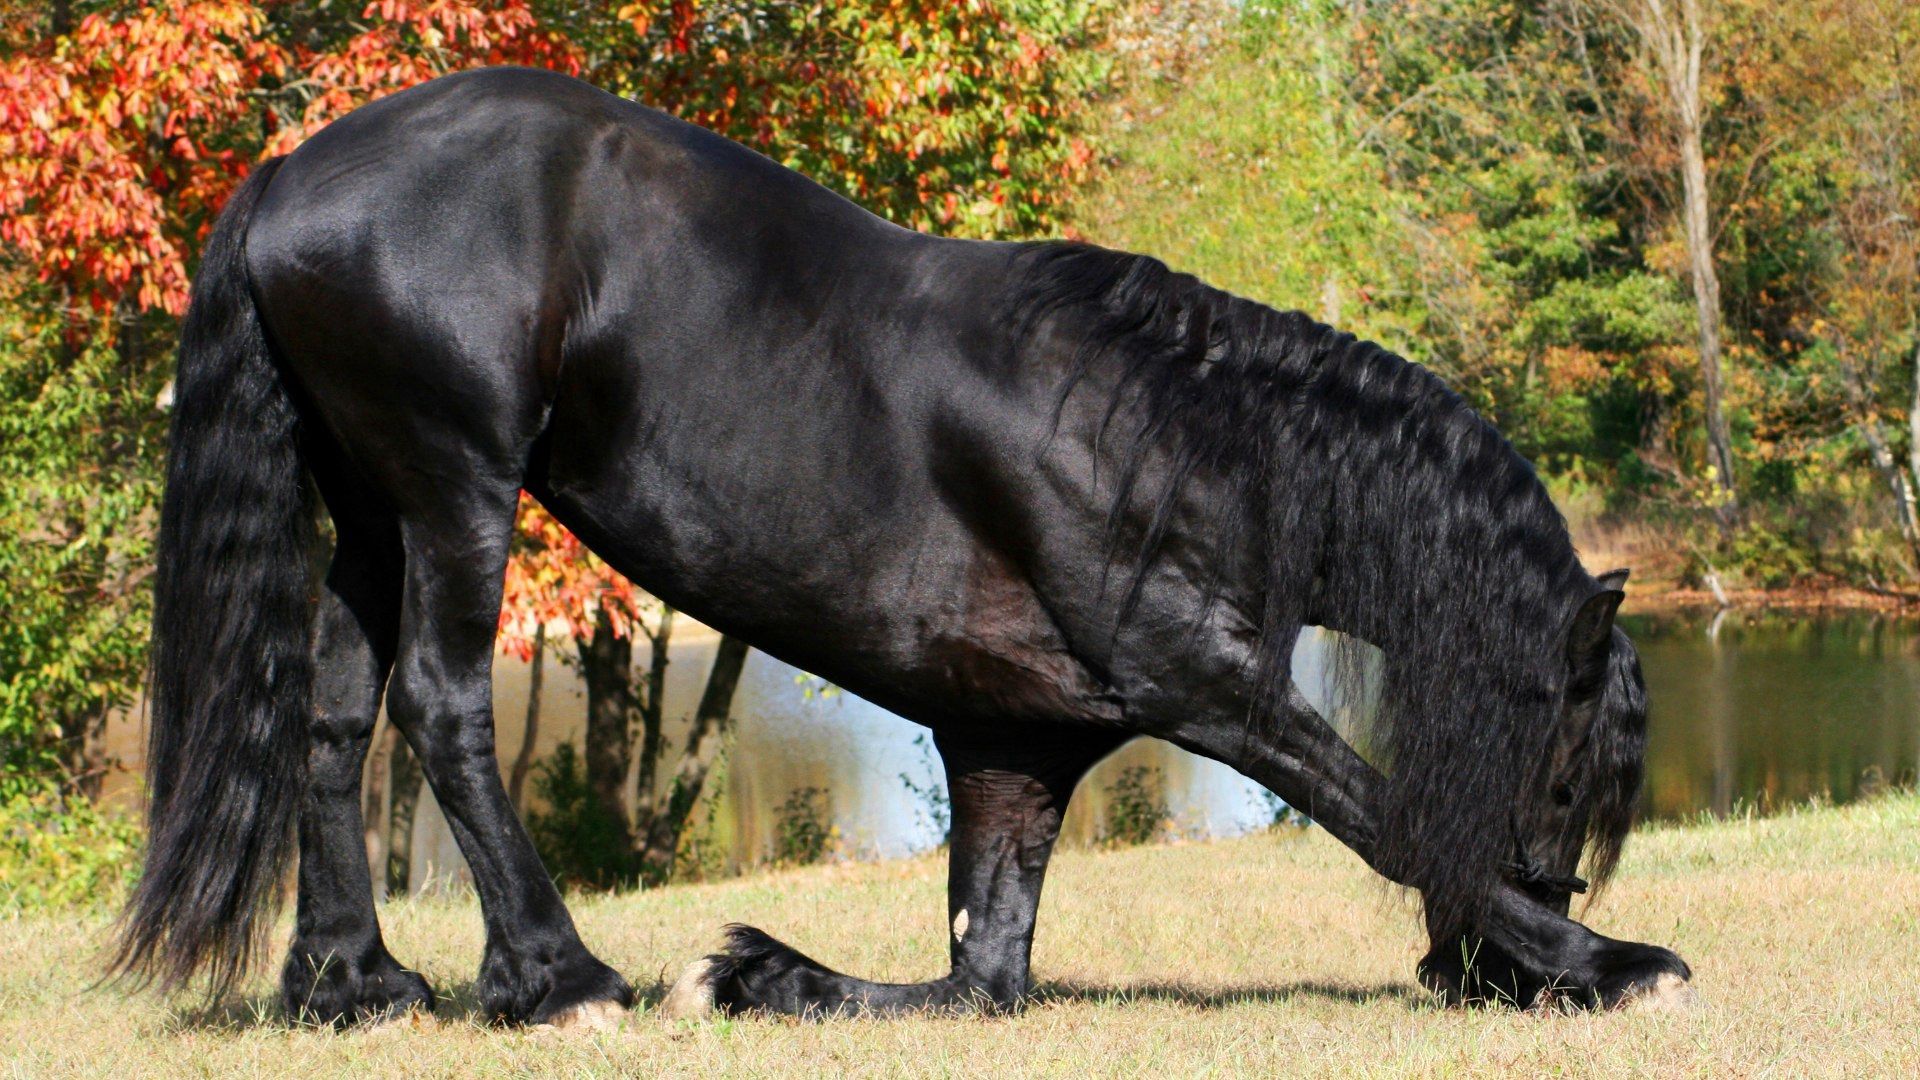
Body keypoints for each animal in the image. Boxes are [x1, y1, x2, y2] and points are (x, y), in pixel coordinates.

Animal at [112, 62, 1689, 1022]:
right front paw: (1613, 959)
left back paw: (352, 980)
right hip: (454, 486)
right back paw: (557, 975)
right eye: (1566, 768)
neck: (1165, 432)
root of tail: (293, 175)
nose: (1477, 975)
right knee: (442, 709)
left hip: (368, 505)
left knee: (330, 719)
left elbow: (982, 970)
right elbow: (1376, 809)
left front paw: (766, 973)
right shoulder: (1205, 684)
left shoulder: (1015, 750)